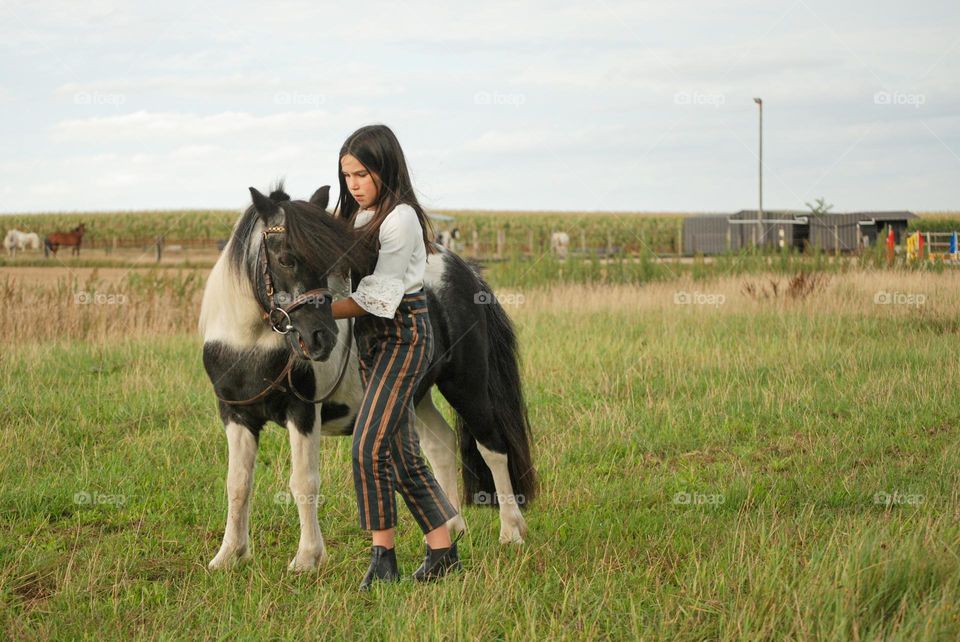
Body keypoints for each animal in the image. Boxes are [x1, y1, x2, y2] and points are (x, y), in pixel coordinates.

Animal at [199, 184, 536, 572]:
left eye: (329, 263)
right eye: (285, 259)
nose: (321, 338)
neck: (250, 345)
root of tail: (466, 272)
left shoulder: (303, 413)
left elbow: (304, 482)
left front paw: (307, 558)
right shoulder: (236, 415)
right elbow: (237, 483)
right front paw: (229, 555)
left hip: (466, 385)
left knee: (492, 446)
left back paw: (512, 531)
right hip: (415, 394)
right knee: (441, 443)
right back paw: (452, 526)